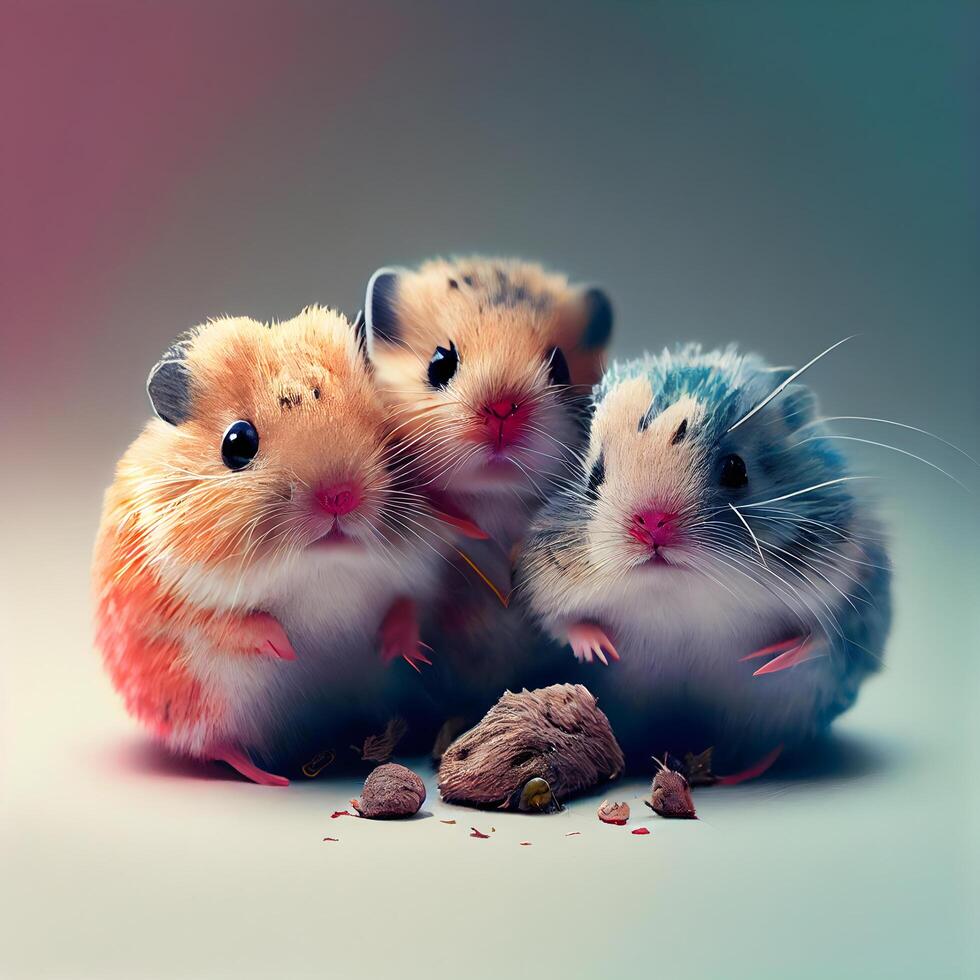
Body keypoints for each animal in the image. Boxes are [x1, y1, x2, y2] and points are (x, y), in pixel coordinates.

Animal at [91, 304, 444, 780]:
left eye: (384, 421)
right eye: (237, 443)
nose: (339, 497)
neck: (321, 567)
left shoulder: (424, 569)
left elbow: (407, 606)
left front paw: (404, 652)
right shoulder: (165, 597)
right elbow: (228, 624)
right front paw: (288, 648)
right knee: (220, 747)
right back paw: (270, 777)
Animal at [364, 256, 612, 724]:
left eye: (560, 367)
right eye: (440, 362)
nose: (502, 411)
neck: (494, 498)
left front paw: (600, 649)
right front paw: (405, 652)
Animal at [516, 342, 892, 764]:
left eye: (736, 469)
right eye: (593, 477)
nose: (652, 524)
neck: (685, 601)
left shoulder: (852, 584)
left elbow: (822, 636)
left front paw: (768, 660)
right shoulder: (545, 590)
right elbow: (565, 623)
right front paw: (601, 650)